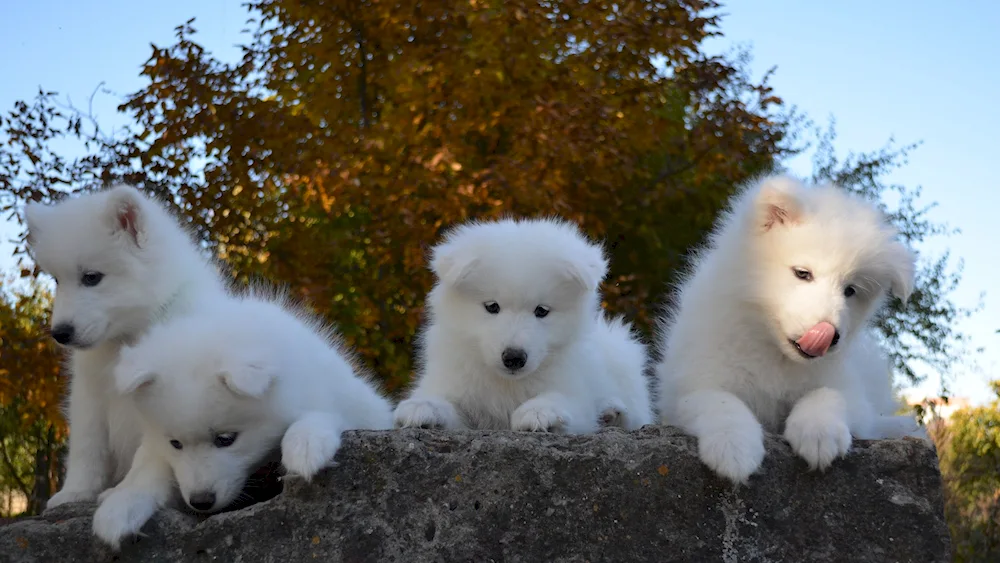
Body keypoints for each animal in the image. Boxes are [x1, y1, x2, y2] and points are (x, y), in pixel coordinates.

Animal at [23, 186, 229, 512]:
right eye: (56, 279)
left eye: (91, 277)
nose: (60, 334)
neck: (127, 339)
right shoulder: (89, 395)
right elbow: (87, 446)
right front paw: (75, 492)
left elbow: (147, 451)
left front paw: (126, 493)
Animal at [92, 288, 392, 548]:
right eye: (175, 444)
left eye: (226, 439)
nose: (201, 502)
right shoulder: (156, 444)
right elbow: (147, 464)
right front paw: (123, 503)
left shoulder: (347, 403)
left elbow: (323, 414)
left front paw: (306, 446)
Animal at [652, 175, 924, 484]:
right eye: (802, 273)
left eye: (850, 290)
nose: (830, 335)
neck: (774, 354)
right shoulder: (685, 388)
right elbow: (718, 400)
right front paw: (734, 446)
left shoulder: (850, 391)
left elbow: (830, 394)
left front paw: (819, 432)